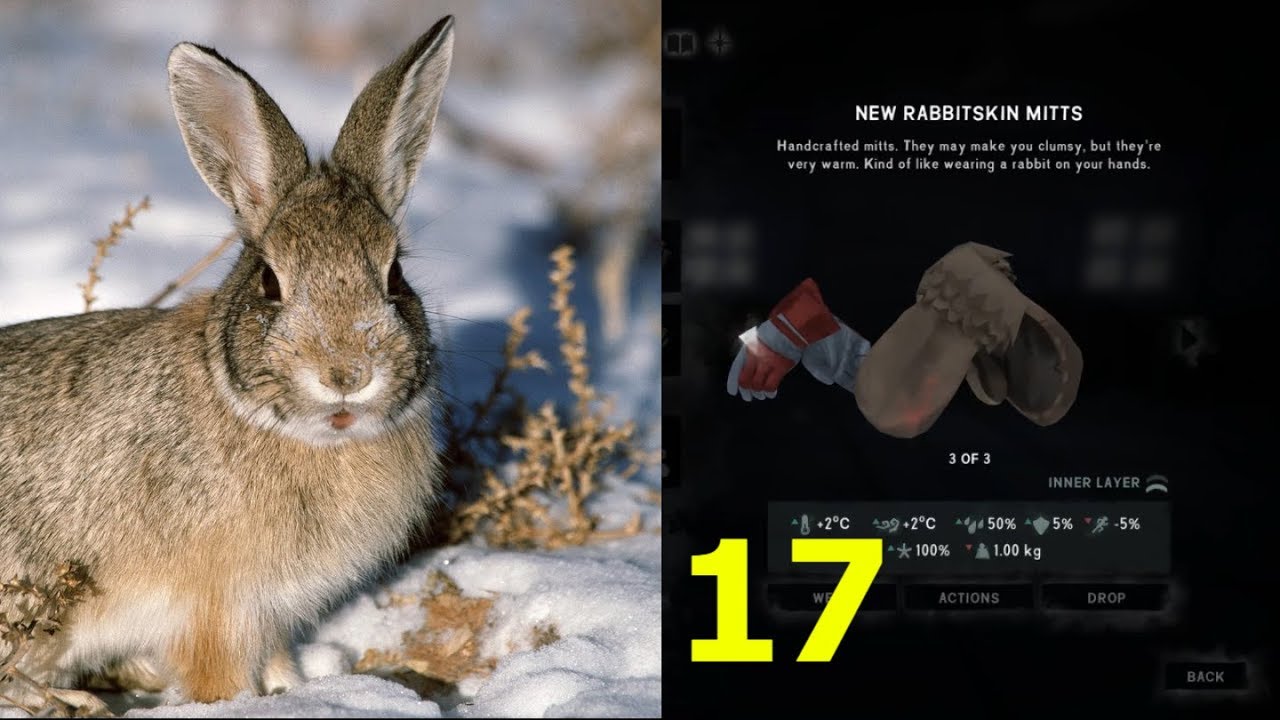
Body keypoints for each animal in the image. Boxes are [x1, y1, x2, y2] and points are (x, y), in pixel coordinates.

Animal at [0, 15, 455, 710]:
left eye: (394, 276)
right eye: (270, 281)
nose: (347, 374)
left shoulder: (267, 614)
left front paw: (293, 689)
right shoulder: (214, 609)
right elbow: (217, 678)